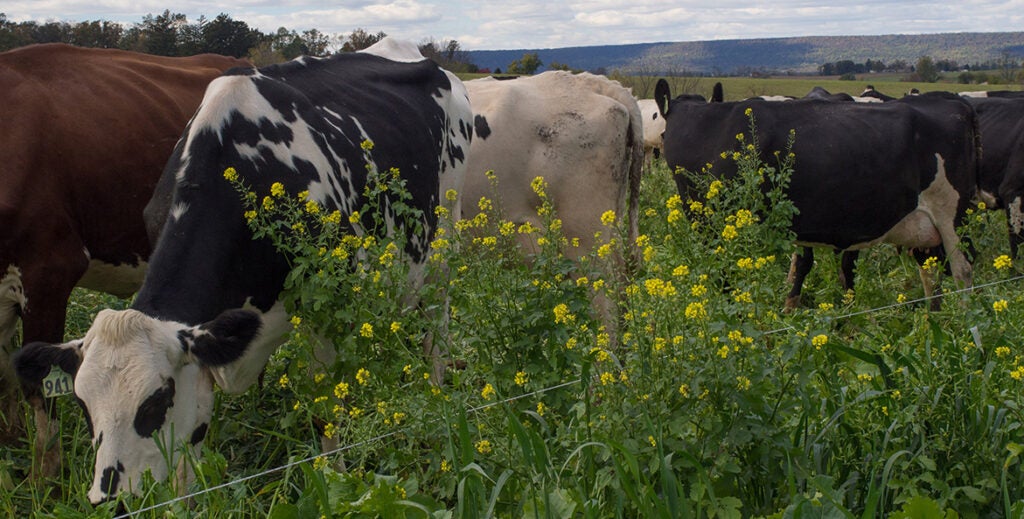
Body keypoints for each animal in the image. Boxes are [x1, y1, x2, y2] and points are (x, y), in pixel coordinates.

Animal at [654, 79, 978, 310]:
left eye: (662, 133)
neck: (707, 130)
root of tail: (955, 102)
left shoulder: (712, 223)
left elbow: (724, 274)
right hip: (923, 228)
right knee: (931, 275)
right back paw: (931, 327)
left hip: (953, 219)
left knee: (963, 273)